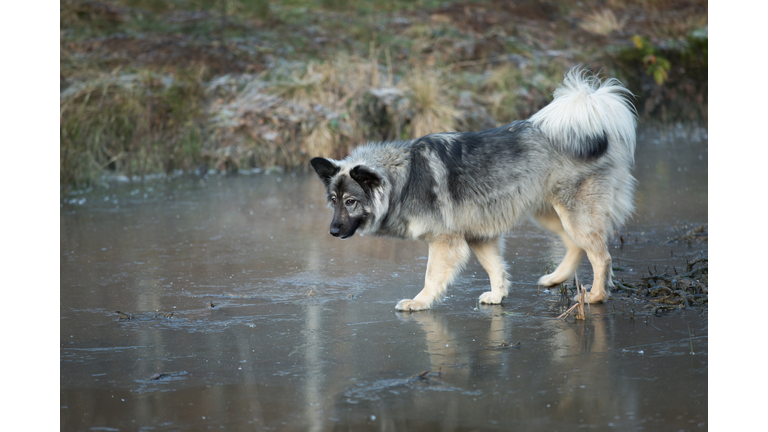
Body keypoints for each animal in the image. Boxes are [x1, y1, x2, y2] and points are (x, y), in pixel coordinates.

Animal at [308, 68, 636, 310]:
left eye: (351, 201)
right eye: (334, 200)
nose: (332, 231)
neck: (404, 178)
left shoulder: (445, 242)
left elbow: (431, 277)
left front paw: (419, 303)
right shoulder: (479, 236)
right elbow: (495, 268)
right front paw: (498, 295)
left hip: (573, 214)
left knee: (600, 256)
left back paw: (595, 296)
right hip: (548, 214)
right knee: (575, 245)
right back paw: (555, 279)